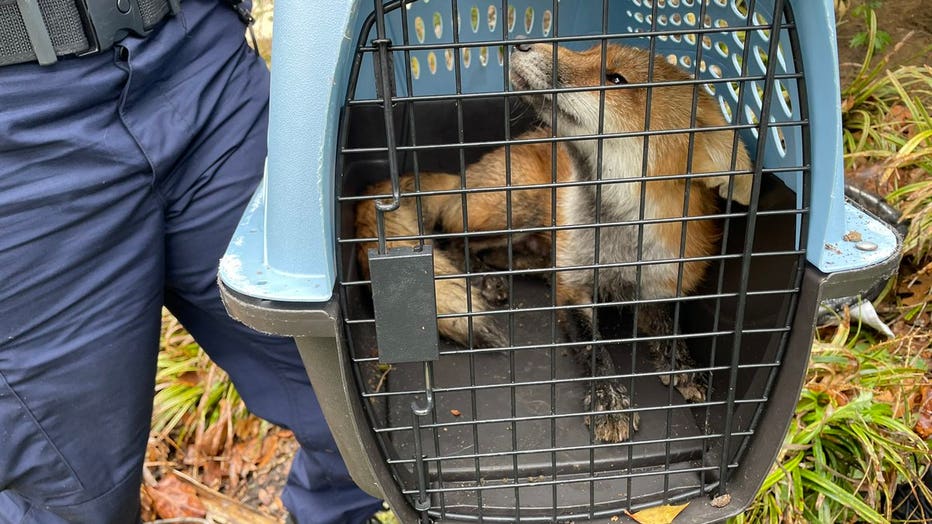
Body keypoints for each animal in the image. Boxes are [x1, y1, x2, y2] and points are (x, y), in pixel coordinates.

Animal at [355, 42, 752, 442]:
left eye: (616, 79)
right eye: (589, 48)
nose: (522, 42)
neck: (616, 243)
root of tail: (463, 176)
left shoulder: (658, 283)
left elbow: (670, 328)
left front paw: (685, 365)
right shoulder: (573, 289)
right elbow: (594, 347)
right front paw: (609, 399)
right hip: (518, 206)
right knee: (452, 240)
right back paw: (485, 280)